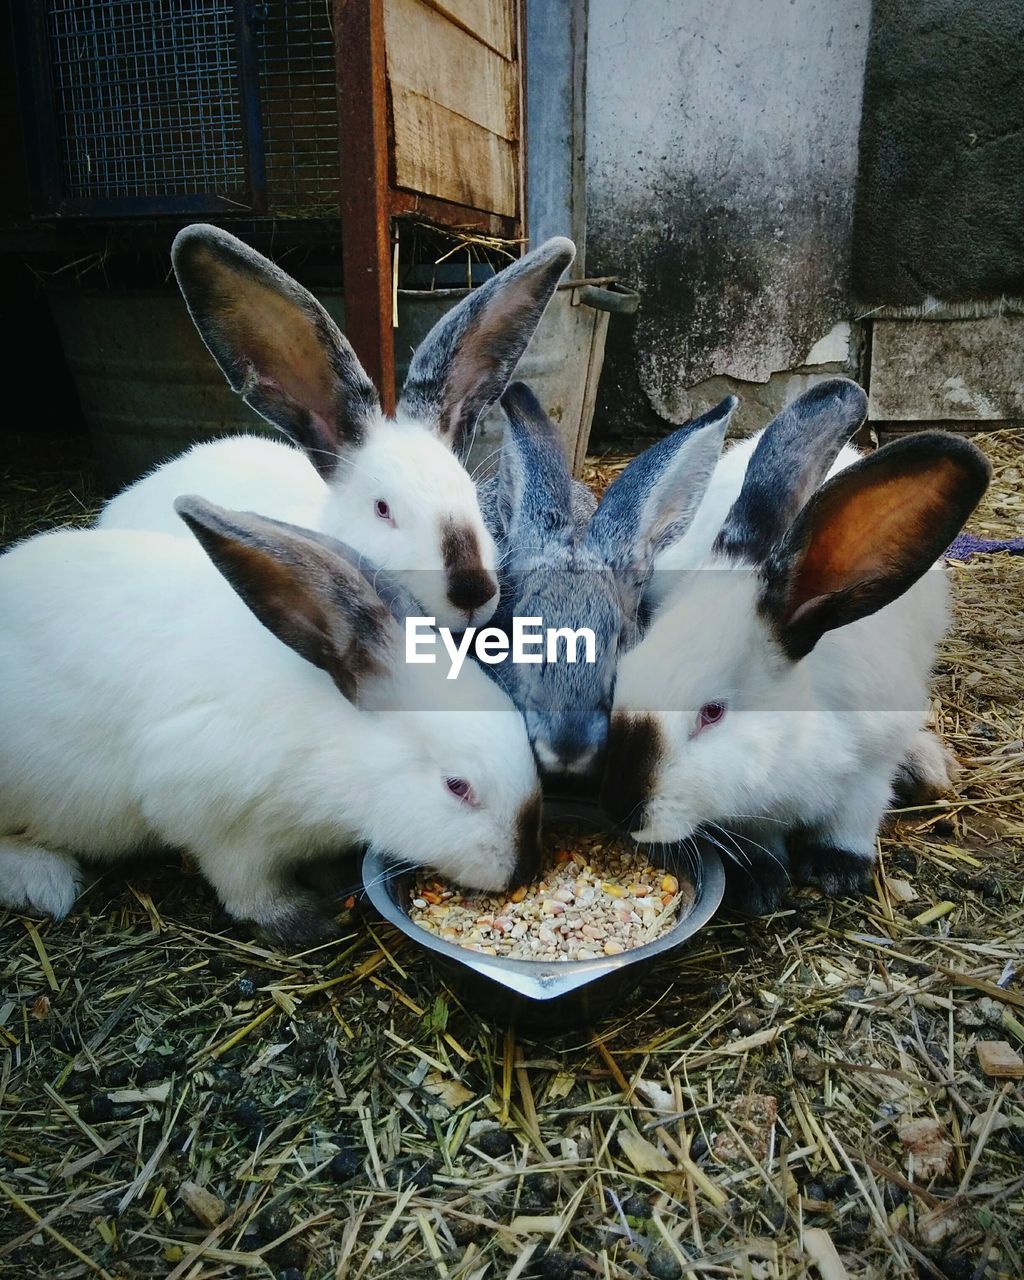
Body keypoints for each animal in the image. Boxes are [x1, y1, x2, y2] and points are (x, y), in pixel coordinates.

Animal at [0, 504, 542, 947]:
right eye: (457, 786)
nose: (521, 872)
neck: (338, 750)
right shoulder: (214, 821)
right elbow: (246, 886)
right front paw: (305, 921)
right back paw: (45, 882)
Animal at [604, 424, 988, 916]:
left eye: (713, 712)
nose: (620, 810)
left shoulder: (871, 764)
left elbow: (854, 818)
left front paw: (837, 869)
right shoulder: (751, 811)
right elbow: (758, 840)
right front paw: (760, 881)